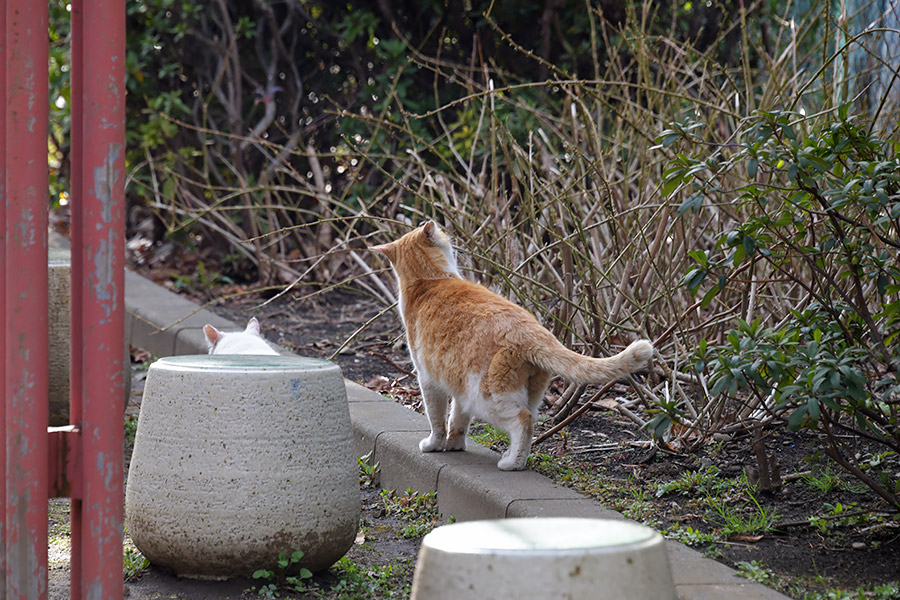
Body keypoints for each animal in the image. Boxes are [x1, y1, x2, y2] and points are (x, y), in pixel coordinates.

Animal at [372, 223, 652, 472]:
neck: (430, 280)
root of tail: (533, 331)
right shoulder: (456, 386)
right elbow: (457, 419)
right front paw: (454, 444)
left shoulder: (428, 380)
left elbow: (437, 418)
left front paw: (434, 445)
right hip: (521, 392)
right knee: (529, 420)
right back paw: (513, 456)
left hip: (488, 397)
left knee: (523, 421)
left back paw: (512, 464)